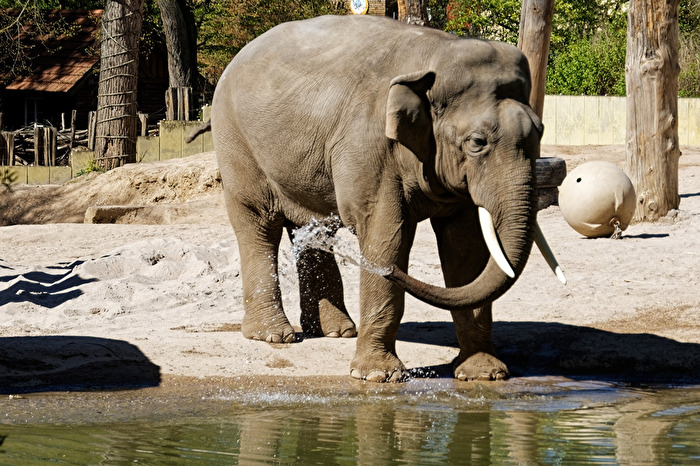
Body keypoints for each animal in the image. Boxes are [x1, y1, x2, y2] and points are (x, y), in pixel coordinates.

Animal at [211, 15, 563, 382]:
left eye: (539, 132)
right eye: (477, 142)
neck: (437, 55)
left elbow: (465, 249)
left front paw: (483, 374)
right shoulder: (370, 147)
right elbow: (386, 234)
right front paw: (378, 376)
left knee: (310, 228)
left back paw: (337, 331)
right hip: (235, 142)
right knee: (258, 223)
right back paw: (274, 335)